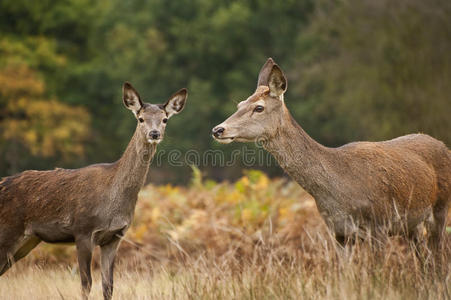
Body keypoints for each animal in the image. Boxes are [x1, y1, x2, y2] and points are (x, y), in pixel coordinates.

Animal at [0, 81, 187, 298]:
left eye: (164, 119)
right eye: (141, 119)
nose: (154, 133)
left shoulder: (114, 237)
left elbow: (108, 285)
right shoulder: (82, 230)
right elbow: (86, 283)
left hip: (27, 241)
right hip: (8, 230)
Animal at [213, 58, 451, 248]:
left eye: (259, 107)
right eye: (239, 104)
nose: (218, 129)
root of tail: (443, 146)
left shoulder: (379, 225)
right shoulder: (339, 233)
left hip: (440, 208)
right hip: (411, 226)